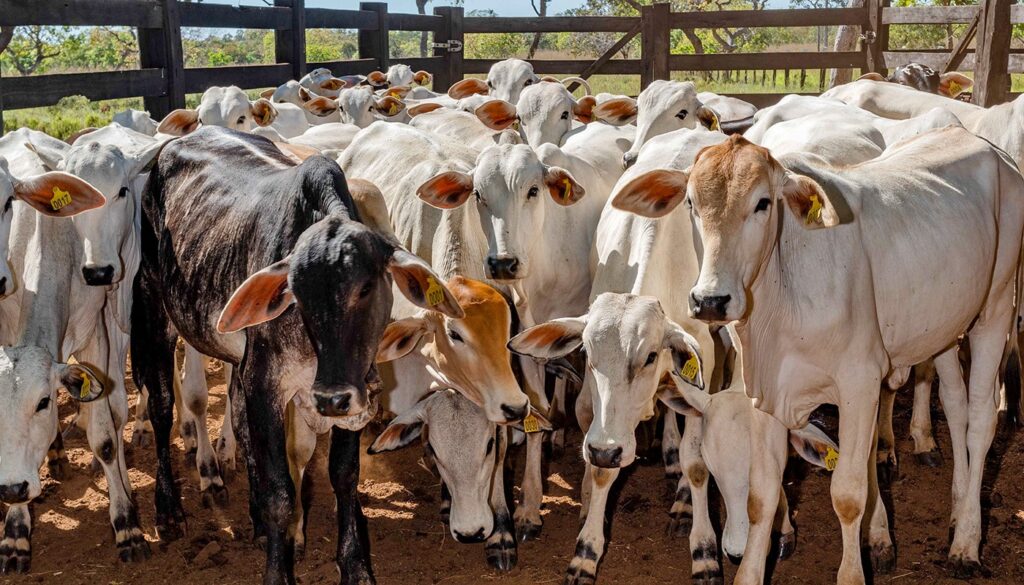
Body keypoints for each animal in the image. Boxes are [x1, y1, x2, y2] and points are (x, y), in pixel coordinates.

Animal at [130, 126, 463, 585]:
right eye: (295, 293)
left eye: (365, 287)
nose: (332, 397)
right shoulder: (266, 383)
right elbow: (280, 494)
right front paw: (279, 571)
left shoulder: (352, 392)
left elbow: (344, 476)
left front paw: (355, 566)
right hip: (154, 307)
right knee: (162, 408)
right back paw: (168, 511)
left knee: (238, 421)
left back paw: (252, 521)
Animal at [611, 128, 1024, 583]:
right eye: (691, 203)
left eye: (763, 202)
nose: (711, 301)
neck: (782, 299)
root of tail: (986, 145)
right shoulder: (765, 390)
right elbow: (763, 495)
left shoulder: (859, 382)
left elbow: (847, 492)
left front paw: (854, 571)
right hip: (944, 328)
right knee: (954, 405)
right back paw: (955, 508)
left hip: (996, 307)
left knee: (981, 420)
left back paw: (966, 541)